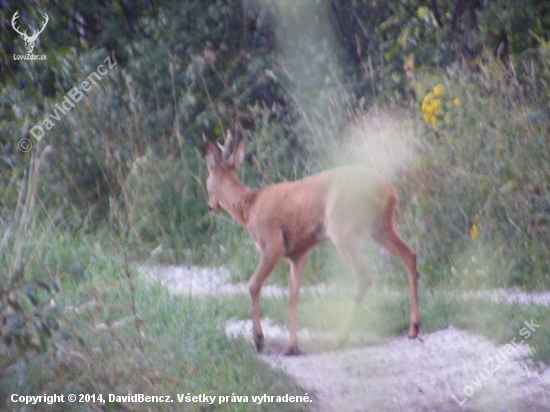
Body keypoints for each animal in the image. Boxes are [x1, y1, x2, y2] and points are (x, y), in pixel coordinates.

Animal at [205, 132, 420, 354]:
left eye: (207, 180)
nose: (211, 206)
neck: (249, 208)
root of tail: (389, 190)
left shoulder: (271, 244)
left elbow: (253, 285)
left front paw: (259, 339)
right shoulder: (299, 252)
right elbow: (293, 294)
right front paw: (292, 345)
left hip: (342, 228)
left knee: (363, 276)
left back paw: (340, 339)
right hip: (380, 226)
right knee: (410, 255)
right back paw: (414, 327)